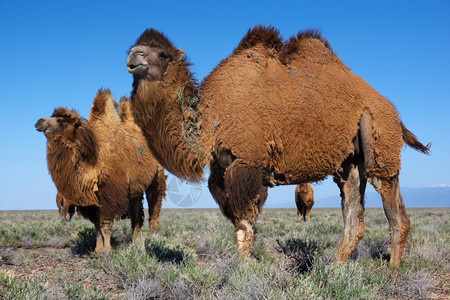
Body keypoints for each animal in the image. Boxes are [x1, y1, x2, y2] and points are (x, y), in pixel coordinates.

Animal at [35, 89, 165, 253]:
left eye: (61, 120)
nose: (39, 122)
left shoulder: (110, 193)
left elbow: (105, 223)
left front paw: (107, 250)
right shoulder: (91, 199)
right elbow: (96, 225)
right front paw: (97, 249)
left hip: (157, 178)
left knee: (153, 210)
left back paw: (145, 241)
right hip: (135, 190)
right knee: (136, 215)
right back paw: (132, 243)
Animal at [125, 27, 428, 264]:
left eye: (162, 54)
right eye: (134, 48)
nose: (133, 56)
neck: (210, 118)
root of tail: (393, 112)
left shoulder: (247, 165)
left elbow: (245, 224)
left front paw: (242, 271)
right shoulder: (220, 173)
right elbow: (238, 223)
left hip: (379, 137)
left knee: (392, 206)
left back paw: (391, 270)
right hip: (350, 162)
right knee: (353, 209)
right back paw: (335, 267)